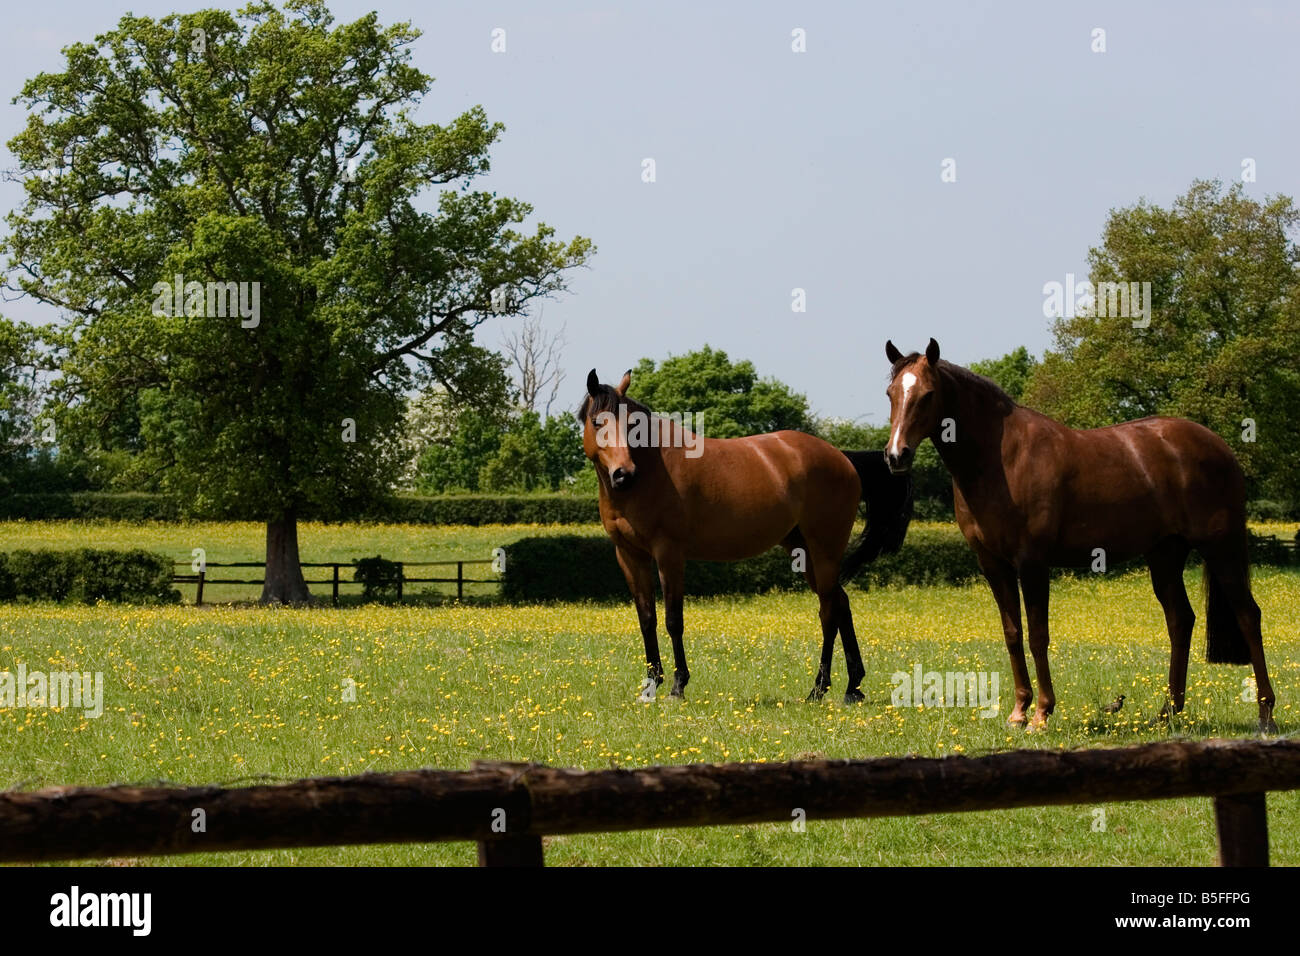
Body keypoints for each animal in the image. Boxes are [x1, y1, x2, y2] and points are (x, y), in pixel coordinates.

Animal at [581, 368, 913, 703]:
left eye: (631, 425)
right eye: (597, 422)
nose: (624, 474)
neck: (650, 473)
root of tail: (843, 458)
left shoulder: (669, 553)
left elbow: (674, 620)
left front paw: (677, 686)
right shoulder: (629, 555)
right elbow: (646, 618)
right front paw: (650, 686)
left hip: (824, 550)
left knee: (829, 612)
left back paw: (818, 689)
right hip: (802, 549)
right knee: (840, 603)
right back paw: (852, 687)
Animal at [882, 338, 1278, 733]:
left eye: (928, 395)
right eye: (891, 393)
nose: (896, 455)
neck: (1001, 460)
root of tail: (1219, 446)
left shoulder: (1032, 563)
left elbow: (1038, 635)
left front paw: (1042, 713)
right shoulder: (993, 565)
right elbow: (1012, 634)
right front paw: (1019, 711)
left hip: (1221, 547)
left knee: (1248, 615)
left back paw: (1265, 714)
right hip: (1165, 554)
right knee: (1181, 620)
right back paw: (1167, 713)